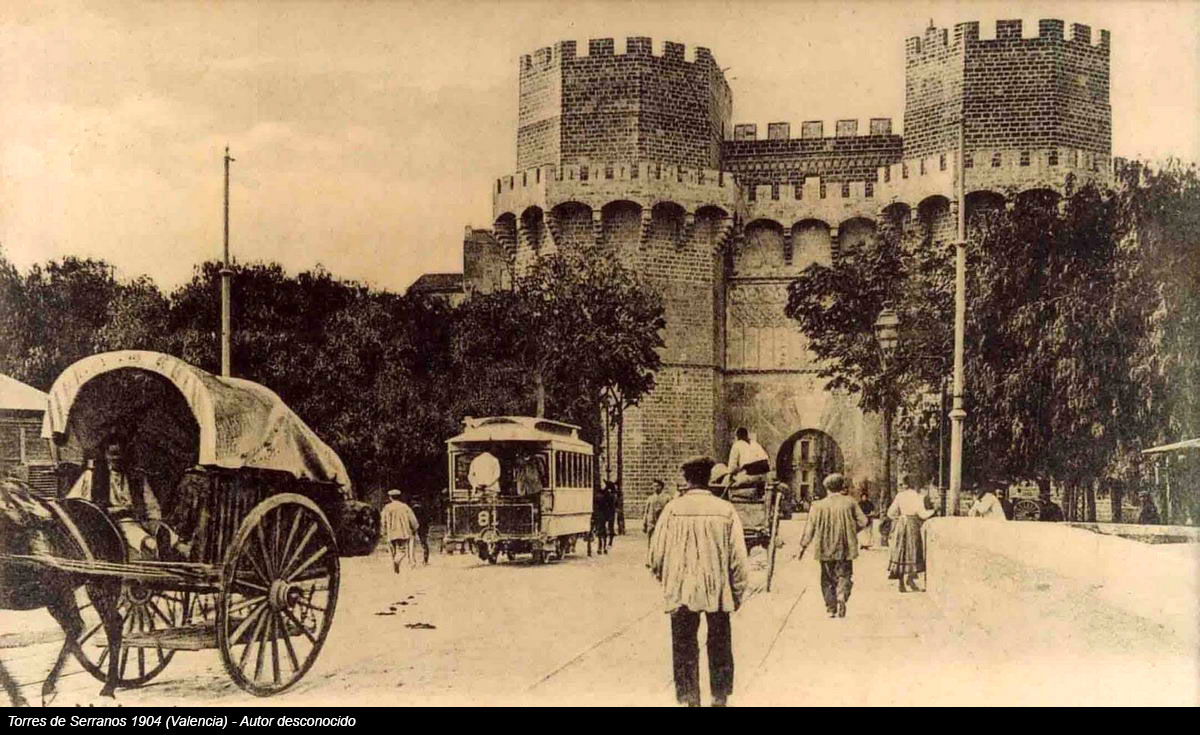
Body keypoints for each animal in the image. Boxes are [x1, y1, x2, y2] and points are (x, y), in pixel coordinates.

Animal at [0, 478, 125, 706]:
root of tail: (100, 512)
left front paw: (19, 697)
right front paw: (17, 696)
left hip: (95, 586)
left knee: (105, 625)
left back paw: (107, 685)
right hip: (60, 595)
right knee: (78, 627)